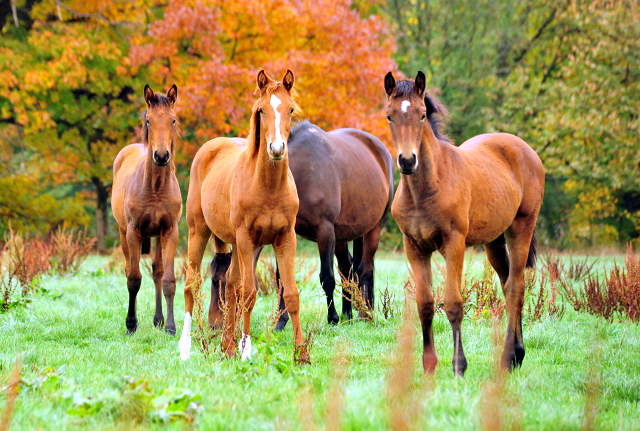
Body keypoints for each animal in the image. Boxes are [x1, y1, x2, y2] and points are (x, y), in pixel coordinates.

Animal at [111, 83, 182, 334]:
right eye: (149, 120)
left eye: (173, 119)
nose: (161, 156)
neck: (155, 188)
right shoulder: (134, 232)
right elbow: (133, 278)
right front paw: (131, 324)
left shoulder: (170, 231)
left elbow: (168, 278)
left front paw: (170, 326)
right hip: (124, 233)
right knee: (129, 270)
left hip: (158, 236)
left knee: (157, 271)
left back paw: (158, 319)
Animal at [180, 71, 310, 364]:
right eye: (261, 110)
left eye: (290, 109)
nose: (276, 148)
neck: (268, 188)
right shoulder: (246, 239)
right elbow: (249, 293)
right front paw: (247, 349)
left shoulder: (285, 239)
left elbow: (291, 294)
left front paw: (302, 354)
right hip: (199, 233)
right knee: (192, 285)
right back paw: (185, 348)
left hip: (236, 245)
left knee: (230, 285)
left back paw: (226, 347)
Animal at [208, 121, 392, 330]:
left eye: (218, 281)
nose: (213, 325)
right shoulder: (285, 232)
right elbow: (281, 278)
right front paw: (280, 322)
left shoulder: (325, 232)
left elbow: (327, 278)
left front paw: (332, 318)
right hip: (344, 234)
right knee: (348, 268)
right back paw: (348, 313)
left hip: (373, 228)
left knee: (364, 269)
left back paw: (364, 314)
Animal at [384, 72, 544, 376]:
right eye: (389, 115)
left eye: (422, 114)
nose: (407, 161)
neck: (426, 189)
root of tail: (526, 150)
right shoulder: (414, 247)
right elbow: (425, 304)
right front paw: (429, 365)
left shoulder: (454, 244)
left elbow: (454, 304)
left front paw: (459, 366)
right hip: (494, 240)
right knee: (506, 282)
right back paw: (518, 354)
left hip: (521, 227)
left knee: (516, 288)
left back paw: (507, 358)